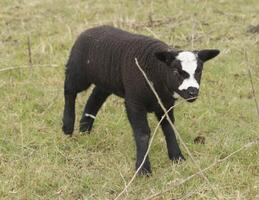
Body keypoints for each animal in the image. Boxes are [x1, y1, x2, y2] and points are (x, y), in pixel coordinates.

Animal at [62, 25, 219, 175]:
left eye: (199, 71)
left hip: (106, 80)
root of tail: (90, 30)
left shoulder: (165, 104)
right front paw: (143, 169)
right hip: (79, 71)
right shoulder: (134, 102)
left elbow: (168, 127)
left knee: (95, 97)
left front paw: (177, 157)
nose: (193, 91)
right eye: (175, 72)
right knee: (69, 91)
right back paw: (67, 126)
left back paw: (84, 129)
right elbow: (142, 133)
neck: (157, 71)